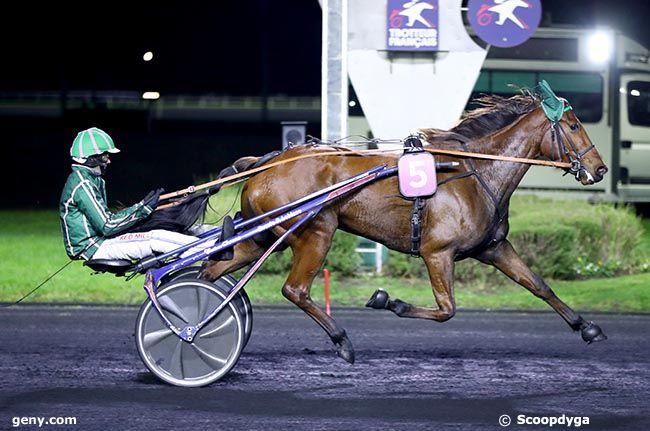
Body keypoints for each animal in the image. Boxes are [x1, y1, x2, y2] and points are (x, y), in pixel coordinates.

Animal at [197, 89, 608, 362]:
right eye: (574, 125)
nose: (600, 168)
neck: (475, 172)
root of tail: (268, 162)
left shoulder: (493, 248)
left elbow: (538, 285)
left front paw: (587, 327)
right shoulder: (437, 252)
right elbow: (447, 309)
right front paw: (387, 300)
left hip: (269, 235)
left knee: (214, 269)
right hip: (315, 231)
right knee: (294, 289)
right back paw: (341, 340)